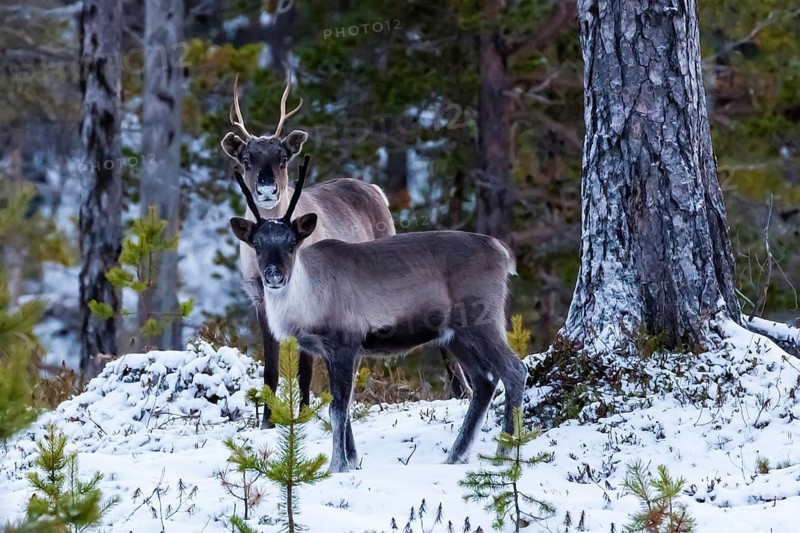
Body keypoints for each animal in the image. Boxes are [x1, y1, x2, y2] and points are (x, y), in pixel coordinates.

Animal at [221, 77, 469, 428]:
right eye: (246, 160)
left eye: (283, 158)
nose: (267, 189)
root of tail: (375, 190)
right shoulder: (259, 300)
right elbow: (270, 370)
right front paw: (267, 421)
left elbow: (305, 370)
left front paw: (304, 414)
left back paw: (461, 389)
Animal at [229, 155, 526, 473]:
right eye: (257, 244)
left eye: (291, 243)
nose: (274, 276)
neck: (308, 302)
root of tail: (503, 253)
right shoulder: (332, 351)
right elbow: (344, 406)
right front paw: (352, 460)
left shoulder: (345, 343)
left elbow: (338, 408)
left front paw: (337, 465)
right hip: (455, 335)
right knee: (484, 381)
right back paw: (456, 455)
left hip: (482, 320)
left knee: (514, 370)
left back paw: (504, 452)